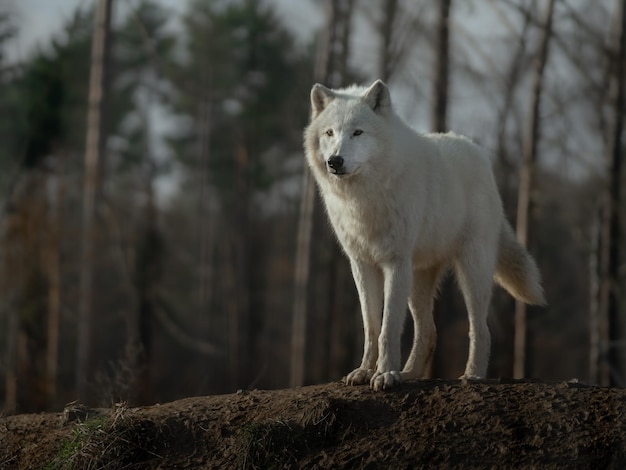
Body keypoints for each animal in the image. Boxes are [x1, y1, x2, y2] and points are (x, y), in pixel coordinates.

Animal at [302, 80, 540, 390]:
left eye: (357, 132)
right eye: (330, 133)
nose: (335, 161)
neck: (364, 198)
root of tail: (477, 151)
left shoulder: (395, 262)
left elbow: (388, 327)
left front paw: (385, 374)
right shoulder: (362, 264)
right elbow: (371, 327)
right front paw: (366, 371)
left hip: (470, 272)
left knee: (481, 329)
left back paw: (472, 374)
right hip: (417, 280)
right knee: (429, 331)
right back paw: (409, 373)